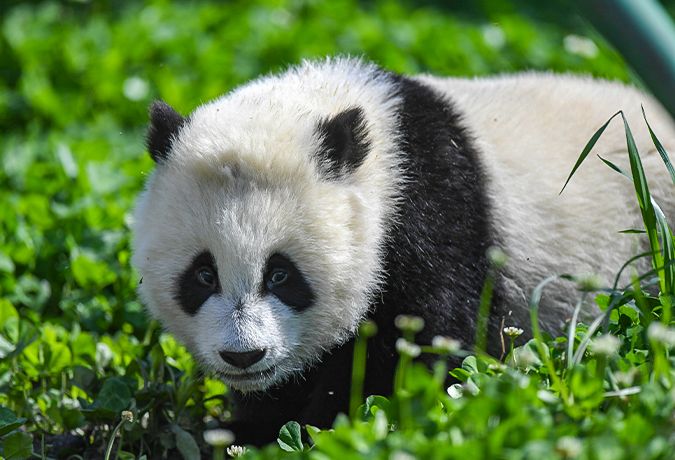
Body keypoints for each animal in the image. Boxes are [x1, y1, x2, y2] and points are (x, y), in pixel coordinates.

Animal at [131, 57, 674, 445]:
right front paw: (248, 429)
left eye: (281, 275)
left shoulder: (433, 215)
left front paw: (320, 430)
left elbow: (411, 352)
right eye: (203, 275)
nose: (243, 355)